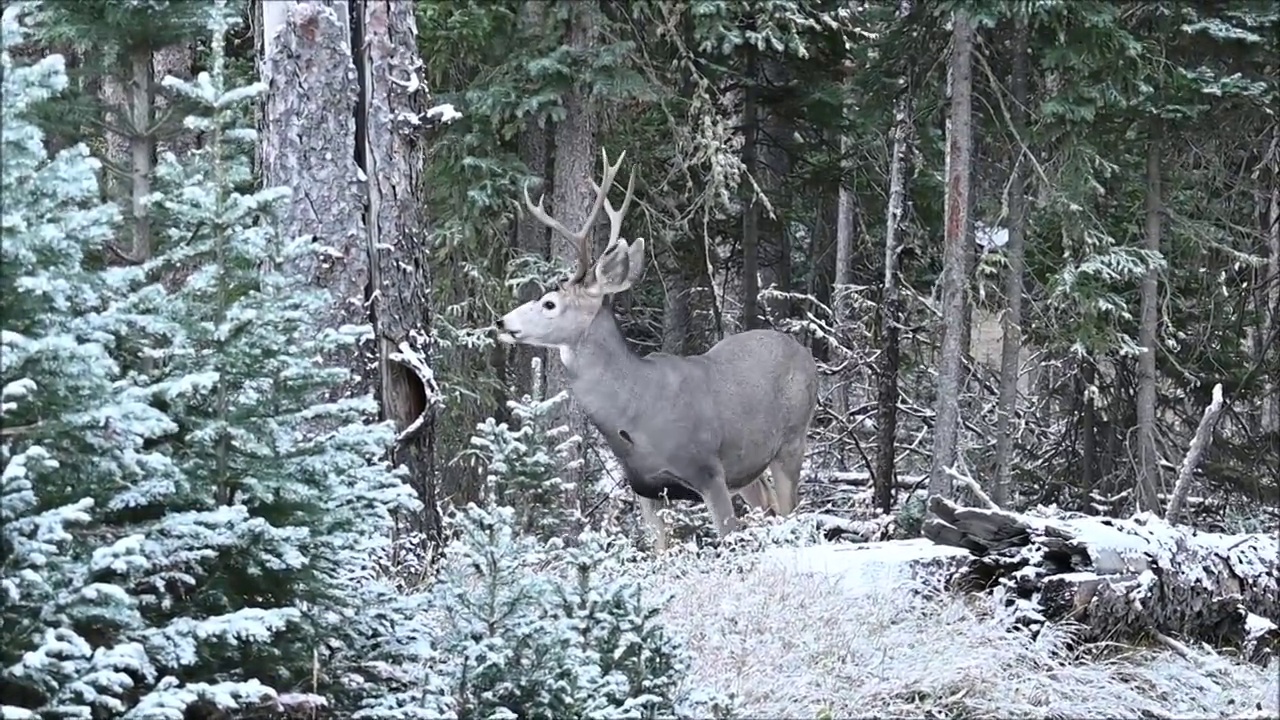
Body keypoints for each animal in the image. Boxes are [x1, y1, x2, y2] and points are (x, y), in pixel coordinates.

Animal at [494, 147, 814, 548]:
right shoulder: (645, 488)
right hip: (748, 467)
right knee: (768, 505)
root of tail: (805, 353)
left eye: (549, 303)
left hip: (792, 440)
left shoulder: (708, 469)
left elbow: (726, 534)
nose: (501, 322)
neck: (636, 412)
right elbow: (659, 551)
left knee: (790, 510)